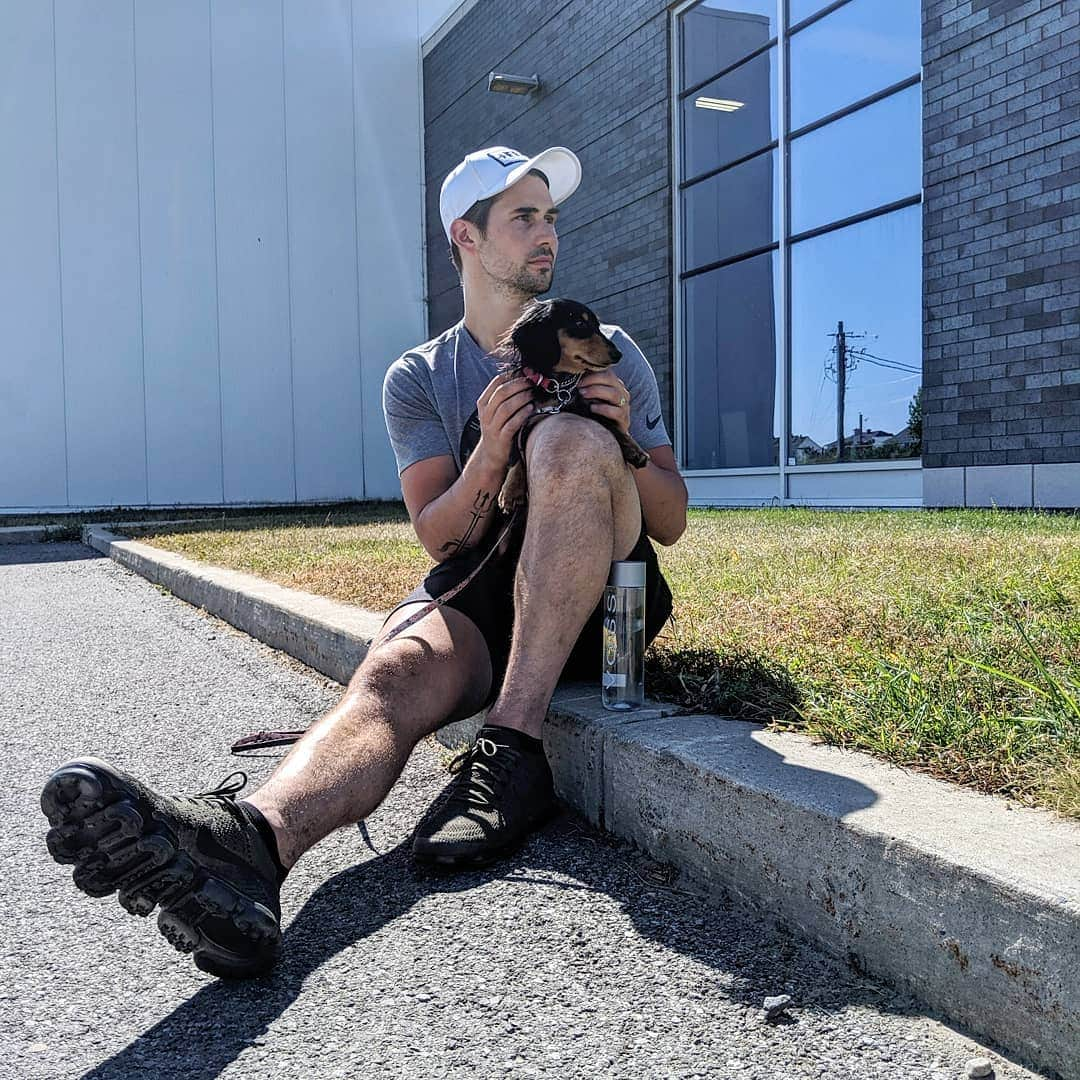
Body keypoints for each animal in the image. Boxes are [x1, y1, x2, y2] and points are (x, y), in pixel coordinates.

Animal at [494, 298, 652, 511]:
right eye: (579, 323)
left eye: (598, 326)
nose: (618, 354)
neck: (558, 385)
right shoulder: (520, 416)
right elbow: (514, 453)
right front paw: (511, 490)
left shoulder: (588, 406)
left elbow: (613, 426)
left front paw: (635, 450)